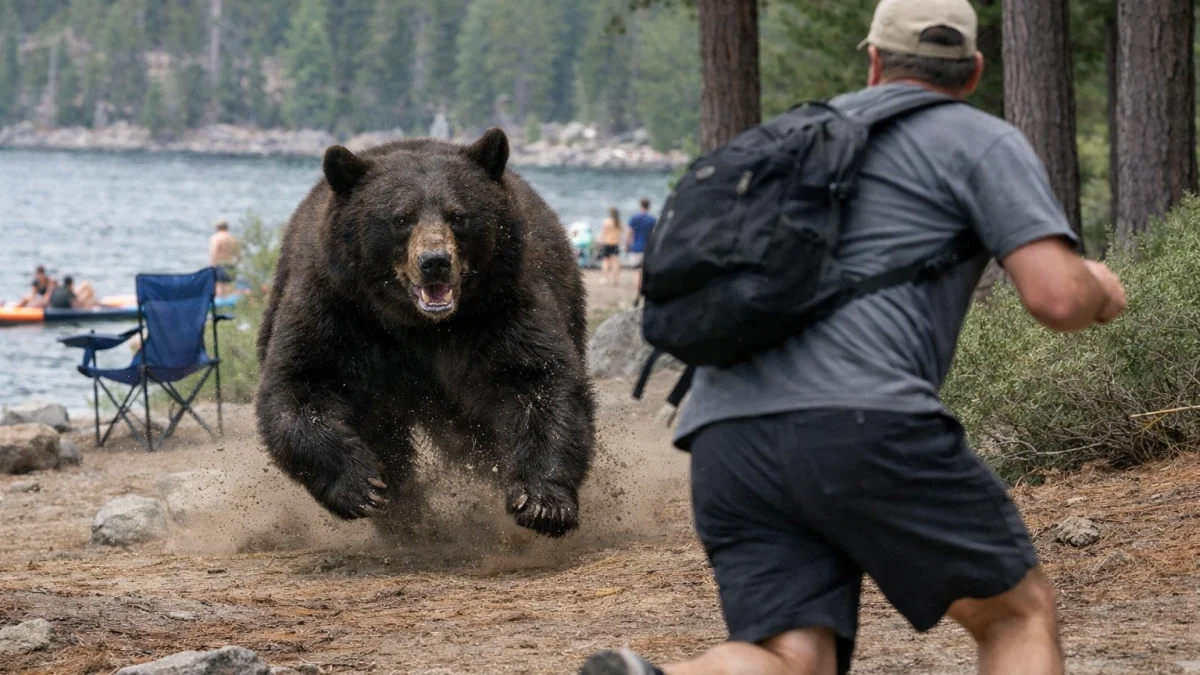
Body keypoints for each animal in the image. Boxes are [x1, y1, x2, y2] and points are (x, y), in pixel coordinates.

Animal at [255, 127, 596, 538]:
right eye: (401, 218)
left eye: (458, 215)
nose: (434, 262)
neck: (419, 324)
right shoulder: (339, 309)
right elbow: (301, 383)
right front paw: (361, 486)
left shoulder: (499, 306)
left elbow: (537, 378)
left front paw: (543, 503)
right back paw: (404, 515)